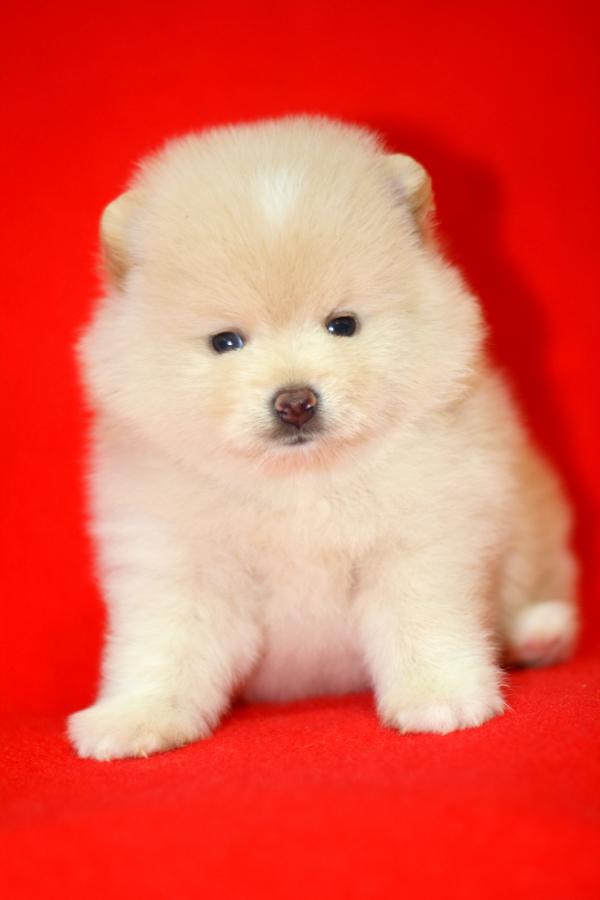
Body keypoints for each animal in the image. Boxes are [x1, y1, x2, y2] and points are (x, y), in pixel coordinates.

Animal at [68, 116, 578, 759]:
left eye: (343, 325)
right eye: (225, 342)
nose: (295, 402)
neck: (300, 483)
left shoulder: (423, 533)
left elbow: (423, 618)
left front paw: (440, 696)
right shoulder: (175, 556)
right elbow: (164, 645)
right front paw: (134, 717)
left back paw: (540, 632)